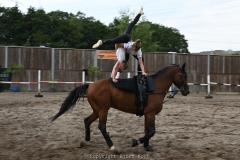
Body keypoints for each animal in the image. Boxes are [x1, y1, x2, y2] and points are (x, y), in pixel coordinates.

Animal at [50, 62, 189, 152]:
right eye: (184, 76)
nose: (187, 91)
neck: (153, 88)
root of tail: (90, 85)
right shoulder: (150, 114)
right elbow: (151, 132)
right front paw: (135, 142)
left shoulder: (147, 114)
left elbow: (147, 131)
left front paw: (147, 146)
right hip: (103, 110)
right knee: (102, 127)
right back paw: (112, 147)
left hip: (97, 110)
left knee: (87, 121)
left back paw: (85, 141)